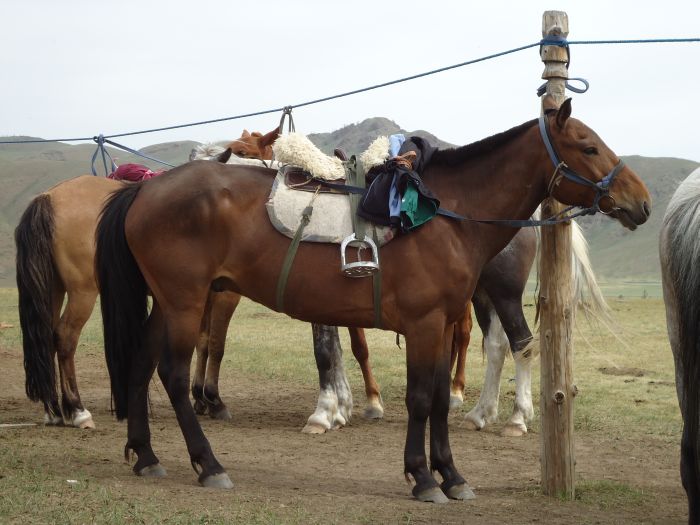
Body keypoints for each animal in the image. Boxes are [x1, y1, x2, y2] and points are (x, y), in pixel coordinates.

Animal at [15, 129, 278, 428]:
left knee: (46, 336)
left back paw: (54, 411)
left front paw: (200, 399)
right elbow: (216, 345)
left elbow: (202, 343)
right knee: (65, 338)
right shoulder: (225, 297)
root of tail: (49, 196)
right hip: (83, 292)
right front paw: (214, 400)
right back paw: (78, 410)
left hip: (53, 288)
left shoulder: (201, 297)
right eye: (244, 154)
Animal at [94, 100, 652, 502]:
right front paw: (423, 477)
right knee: (169, 374)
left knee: (141, 365)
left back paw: (146, 456)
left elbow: (437, 400)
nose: (642, 202)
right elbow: (419, 398)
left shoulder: (442, 324)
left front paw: (450, 474)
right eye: (588, 147)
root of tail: (147, 191)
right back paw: (208, 464)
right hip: (185, 303)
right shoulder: (424, 324)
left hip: (169, 303)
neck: (447, 214)